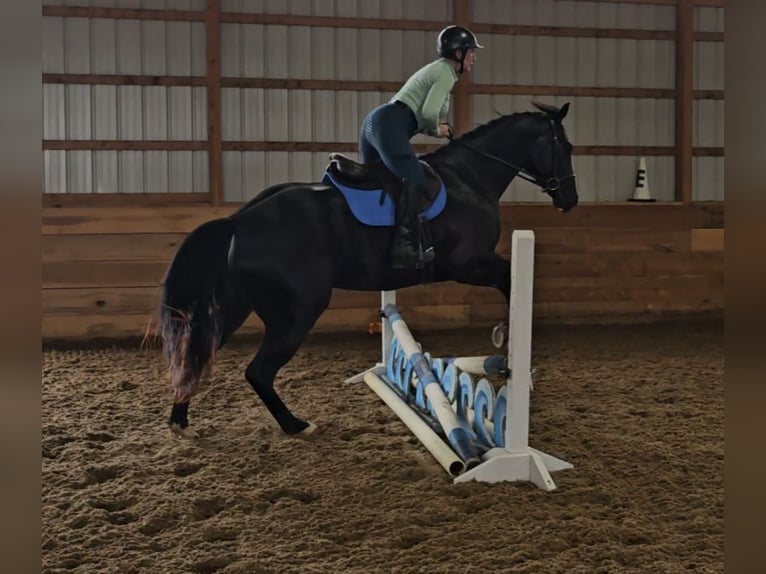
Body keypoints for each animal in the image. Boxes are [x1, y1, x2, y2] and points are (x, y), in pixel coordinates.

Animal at [150, 100, 576, 440]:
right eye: (566, 147)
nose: (570, 199)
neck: (469, 179)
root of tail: (239, 220)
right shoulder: (469, 264)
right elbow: (509, 281)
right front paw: (507, 341)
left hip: (236, 307)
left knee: (198, 353)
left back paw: (180, 420)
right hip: (298, 312)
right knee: (258, 371)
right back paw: (295, 425)